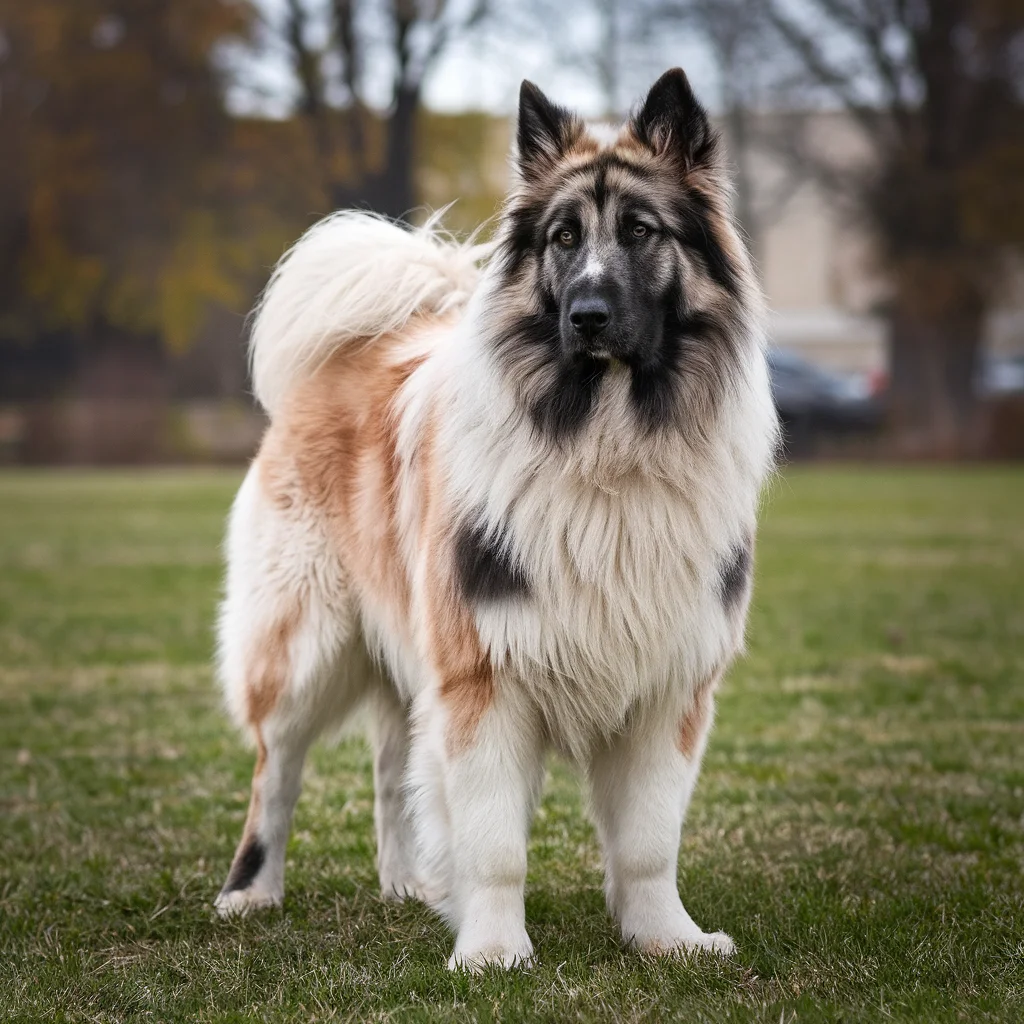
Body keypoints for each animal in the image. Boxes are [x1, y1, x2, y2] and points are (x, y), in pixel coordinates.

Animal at [214, 70, 774, 966]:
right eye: (561, 238)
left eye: (641, 231)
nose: (586, 314)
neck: (603, 442)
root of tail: (365, 347)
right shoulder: (483, 676)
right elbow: (494, 842)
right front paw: (491, 952)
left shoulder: (670, 683)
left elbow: (649, 842)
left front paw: (667, 937)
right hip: (301, 639)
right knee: (279, 769)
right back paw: (250, 892)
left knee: (393, 762)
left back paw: (409, 883)